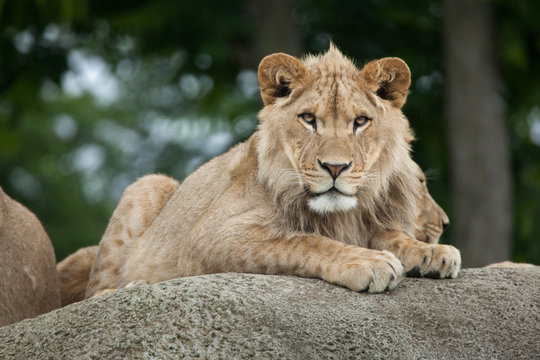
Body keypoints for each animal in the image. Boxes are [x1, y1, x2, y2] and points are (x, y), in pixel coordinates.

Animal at [83, 45, 460, 298]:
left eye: (361, 121)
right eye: (308, 119)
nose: (335, 167)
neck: (342, 214)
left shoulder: (370, 222)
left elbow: (395, 236)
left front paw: (432, 253)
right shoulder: (210, 237)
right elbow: (305, 241)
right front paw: (368, 262)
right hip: (147, 185)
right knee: (95, 292)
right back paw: (129, 287)